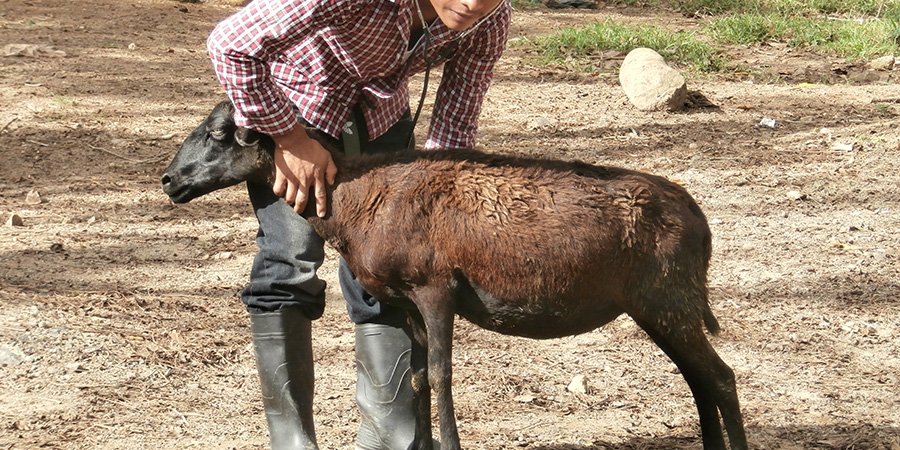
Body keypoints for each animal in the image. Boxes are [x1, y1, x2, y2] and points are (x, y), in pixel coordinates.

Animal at [160, 102, 744, 450]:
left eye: (219, 134)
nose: (168, 180)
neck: (355, 200)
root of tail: (698, 216)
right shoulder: (404, 302)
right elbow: (418, 377)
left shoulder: (435, 288)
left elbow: (441, 375)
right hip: (659, 306)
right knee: (699, 378)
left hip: (670, 297)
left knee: (719, 377)